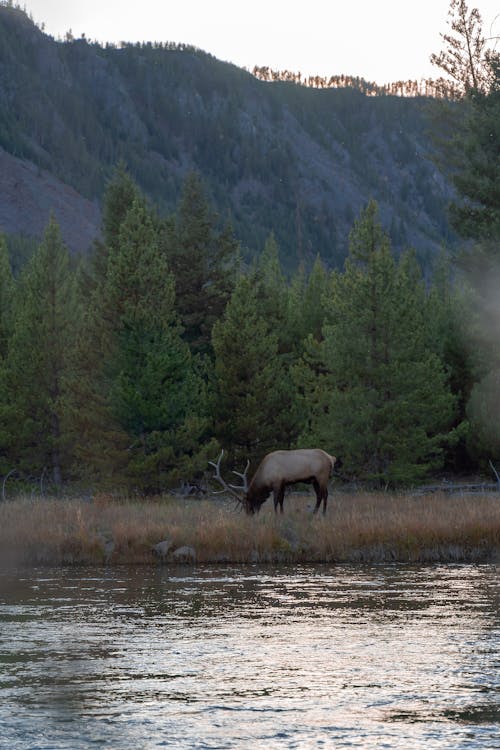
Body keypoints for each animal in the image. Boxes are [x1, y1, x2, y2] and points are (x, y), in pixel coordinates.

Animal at [207, 450, 340, 516]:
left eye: (246, 504)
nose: (249, 515)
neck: (265, 476)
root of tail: (331, 458)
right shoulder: (283, 483)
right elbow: (281, 500)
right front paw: (282, 514)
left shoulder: (277, 482)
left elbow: (275, 500)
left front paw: (276, 515)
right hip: (315, 480)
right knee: (319, 495)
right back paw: (314, 513)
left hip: (322, 477)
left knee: (325, 495)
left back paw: (323, 514)